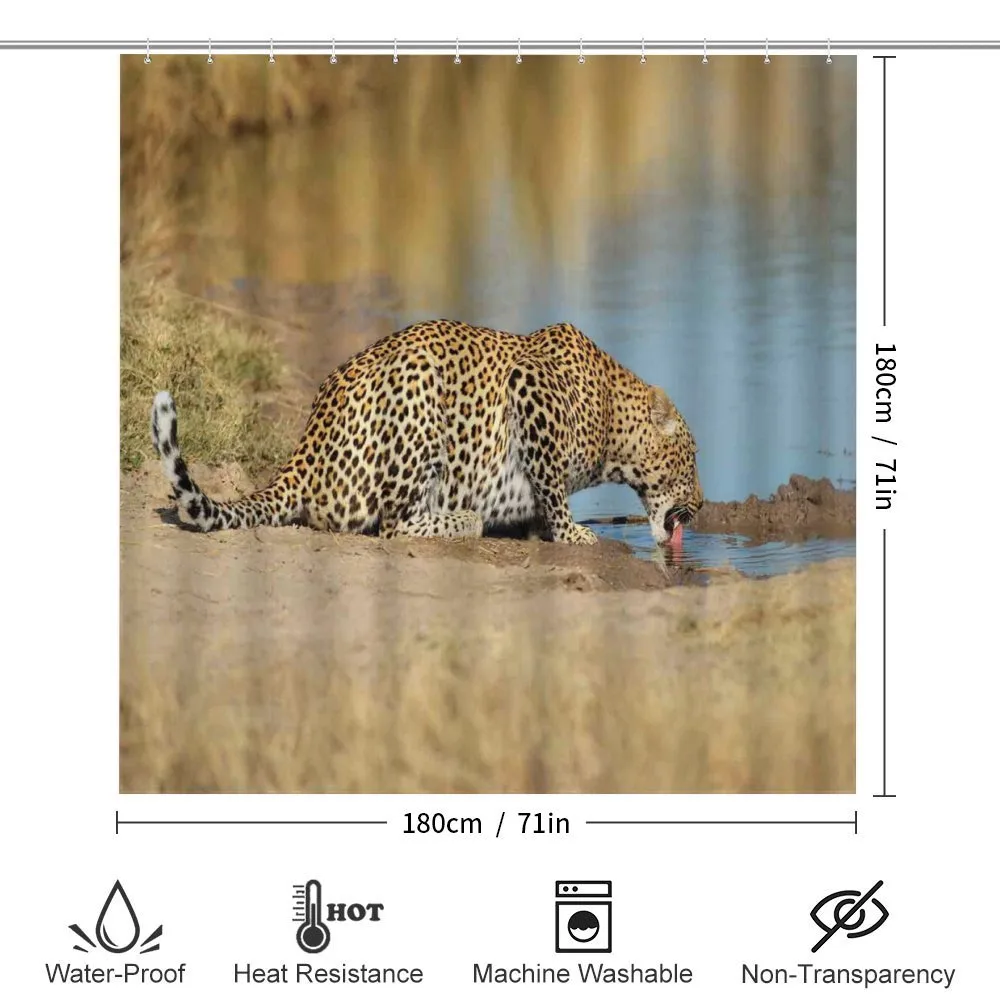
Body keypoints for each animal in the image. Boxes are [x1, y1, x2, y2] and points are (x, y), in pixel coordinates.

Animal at [151, 319, 703, 548]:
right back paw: (464, 520)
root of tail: (305, 451)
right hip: (418, 396)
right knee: (393, 523)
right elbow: (550, 483)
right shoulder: (530, 386)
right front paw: (572, 533)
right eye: (693, 460)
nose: (700, 504)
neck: (611, 416)